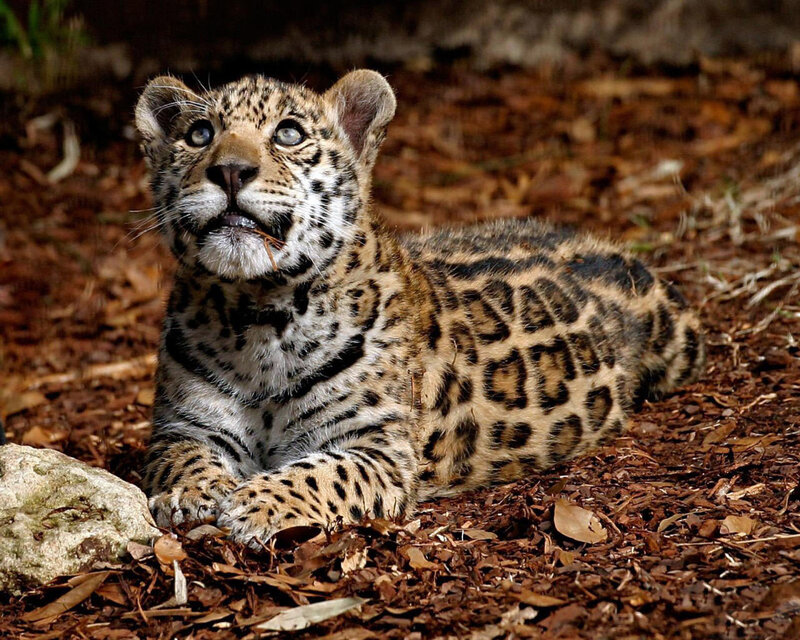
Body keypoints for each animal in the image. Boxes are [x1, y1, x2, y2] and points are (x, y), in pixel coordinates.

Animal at [134, 70, 705, 545]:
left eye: (289, 134)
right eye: (199, 134)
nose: (230, 171)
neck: (257, 317)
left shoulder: (378, 448)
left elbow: (320, 474)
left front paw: (255, 503)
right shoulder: (185, 426)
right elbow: (179, 458)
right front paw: (195, 493)